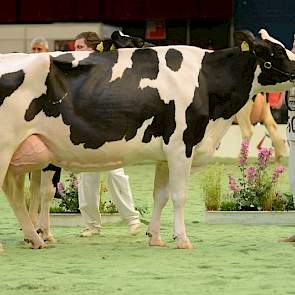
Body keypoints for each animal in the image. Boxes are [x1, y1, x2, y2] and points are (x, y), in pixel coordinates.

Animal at [0, 28, 295, 252]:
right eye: (277, 52)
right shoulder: (181, 146)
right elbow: (179, 195)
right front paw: (182, 239)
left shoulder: (165, 155)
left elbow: (160, 196)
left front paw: (155, 237)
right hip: (6, 149)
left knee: (14, 193)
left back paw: (35, 239)